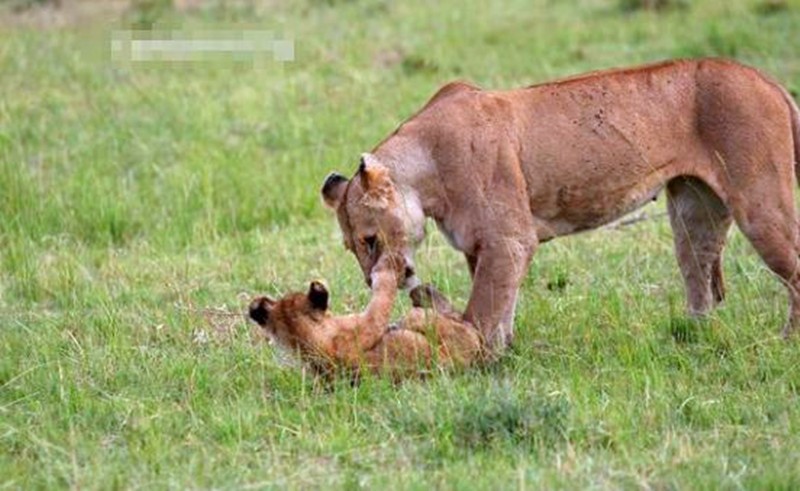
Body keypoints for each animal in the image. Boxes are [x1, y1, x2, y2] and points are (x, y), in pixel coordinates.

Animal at [318, 59, 800, 356]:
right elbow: (502, 306)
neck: (427, 171)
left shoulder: (508, 240)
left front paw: (474, 359)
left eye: (370, 239)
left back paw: (785, 341)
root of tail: (767, 79)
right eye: (352, 247)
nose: (371, 282)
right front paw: (503, 353)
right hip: (693, 211)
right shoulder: (482, 247)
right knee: (701, 280)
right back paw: (692, 336)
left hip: (760, 202)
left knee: (792, 269)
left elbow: (483, 311)